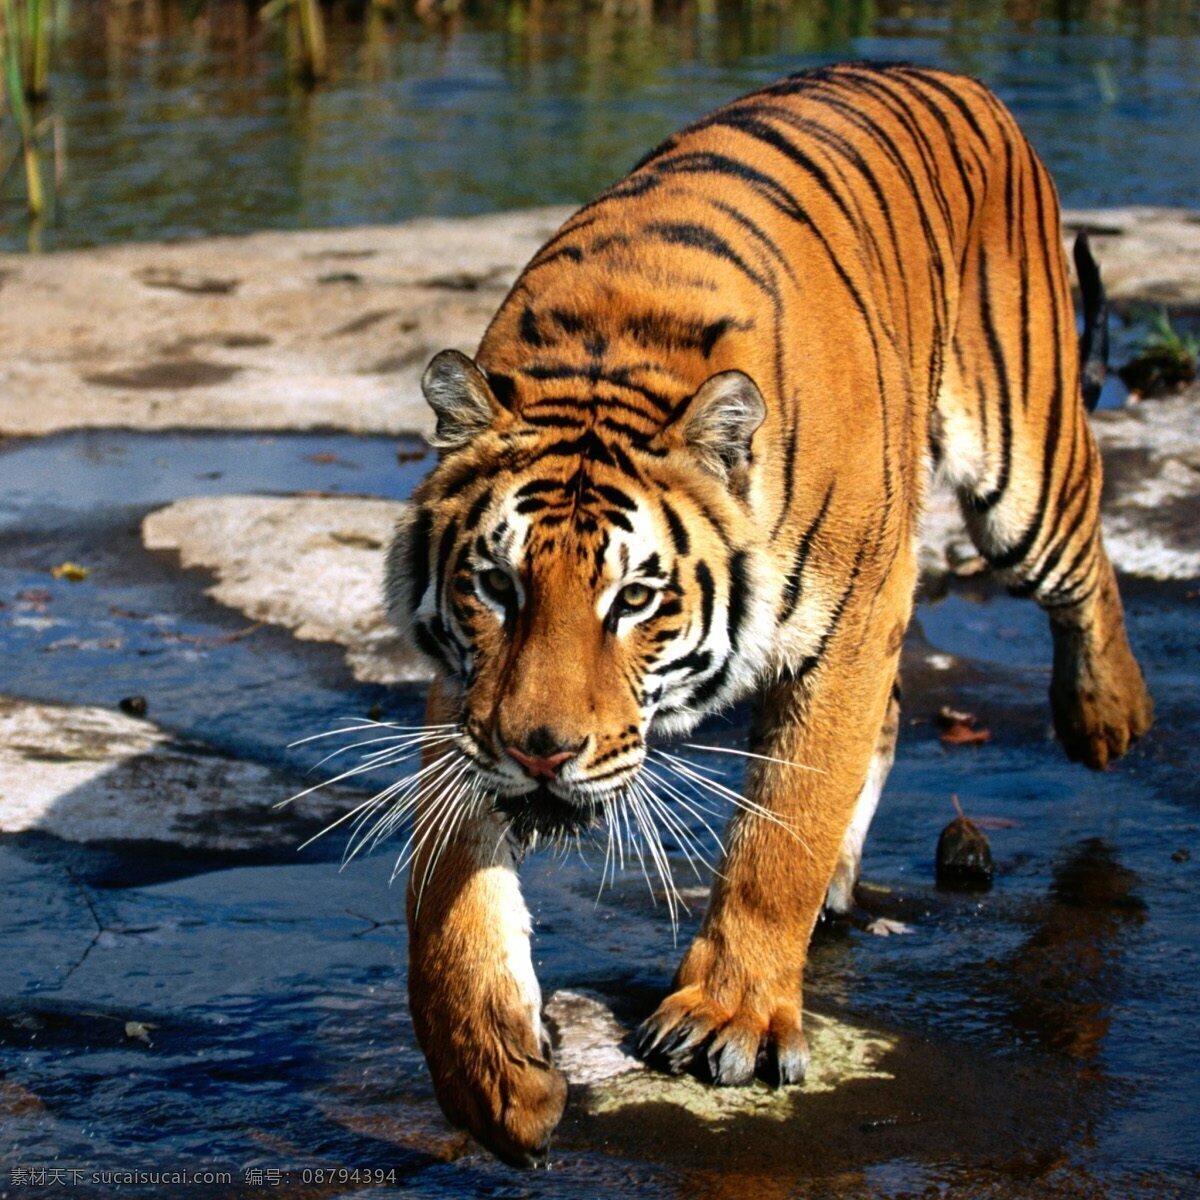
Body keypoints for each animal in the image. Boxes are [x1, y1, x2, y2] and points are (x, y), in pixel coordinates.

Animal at [381, 58, 1152, 1161]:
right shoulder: (470, 694)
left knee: (1085, 561)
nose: (542, 752)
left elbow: (782, 830)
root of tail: (948, 71)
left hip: (1022, 462)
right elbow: (443, 891)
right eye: (496, 585)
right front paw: (491, 1075)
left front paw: (730, 1018)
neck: (611, 357)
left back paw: (1107, 716)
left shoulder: (852, 620)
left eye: (636, 598)